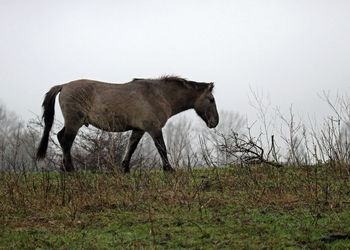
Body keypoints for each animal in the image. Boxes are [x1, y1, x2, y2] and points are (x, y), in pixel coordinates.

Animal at [35, 76, 219, 173]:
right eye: (211, 99)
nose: (215, 122)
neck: (158, 94)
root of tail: (64, 86)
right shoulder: (154, 128)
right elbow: (161, 148)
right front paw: (169, 169)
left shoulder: (139, 129)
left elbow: (131, 147)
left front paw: (125, 168)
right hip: (74, 122)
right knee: (66, 141)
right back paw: (71, 169)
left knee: (61, 138)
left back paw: (64, 168)